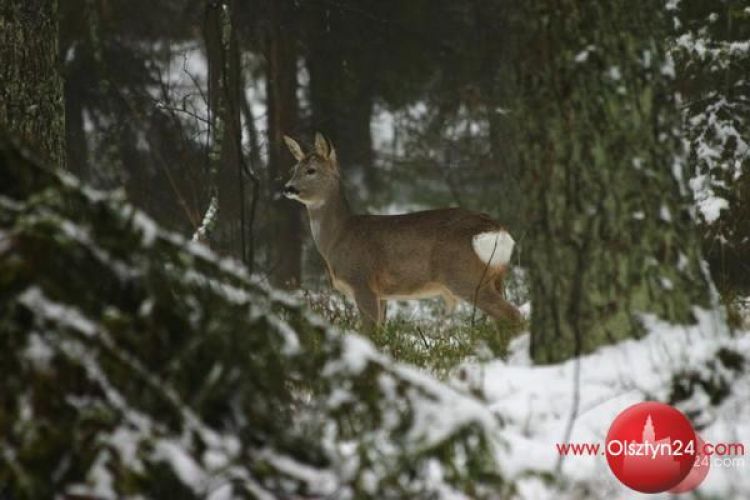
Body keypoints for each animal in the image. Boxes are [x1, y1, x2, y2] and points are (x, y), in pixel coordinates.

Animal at [284, 133, 524, 332]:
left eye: (311, 170)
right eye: (293, 170)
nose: (288, 188)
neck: (339, 235)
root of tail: (496, 229)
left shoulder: (361, 281)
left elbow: (369, 333)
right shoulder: (382, 294)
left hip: (465, 276)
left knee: (513, 315)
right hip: (496, 276)